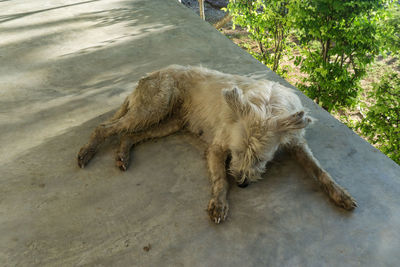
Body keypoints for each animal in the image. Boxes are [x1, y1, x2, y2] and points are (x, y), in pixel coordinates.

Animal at [77, 65, 356, 224]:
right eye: (236, 152)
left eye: (260, 159)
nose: (242, 184)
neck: (267, 107)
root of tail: (143, 79)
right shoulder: (218, 147)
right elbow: (221, 178)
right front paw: (219, 204)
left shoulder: (296, 143)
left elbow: (320, 171)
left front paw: (340, 194)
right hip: (154, 107)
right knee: (105, 128)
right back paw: (87, 152)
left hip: (168, 122)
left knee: (129, 135)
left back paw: (123, 154)